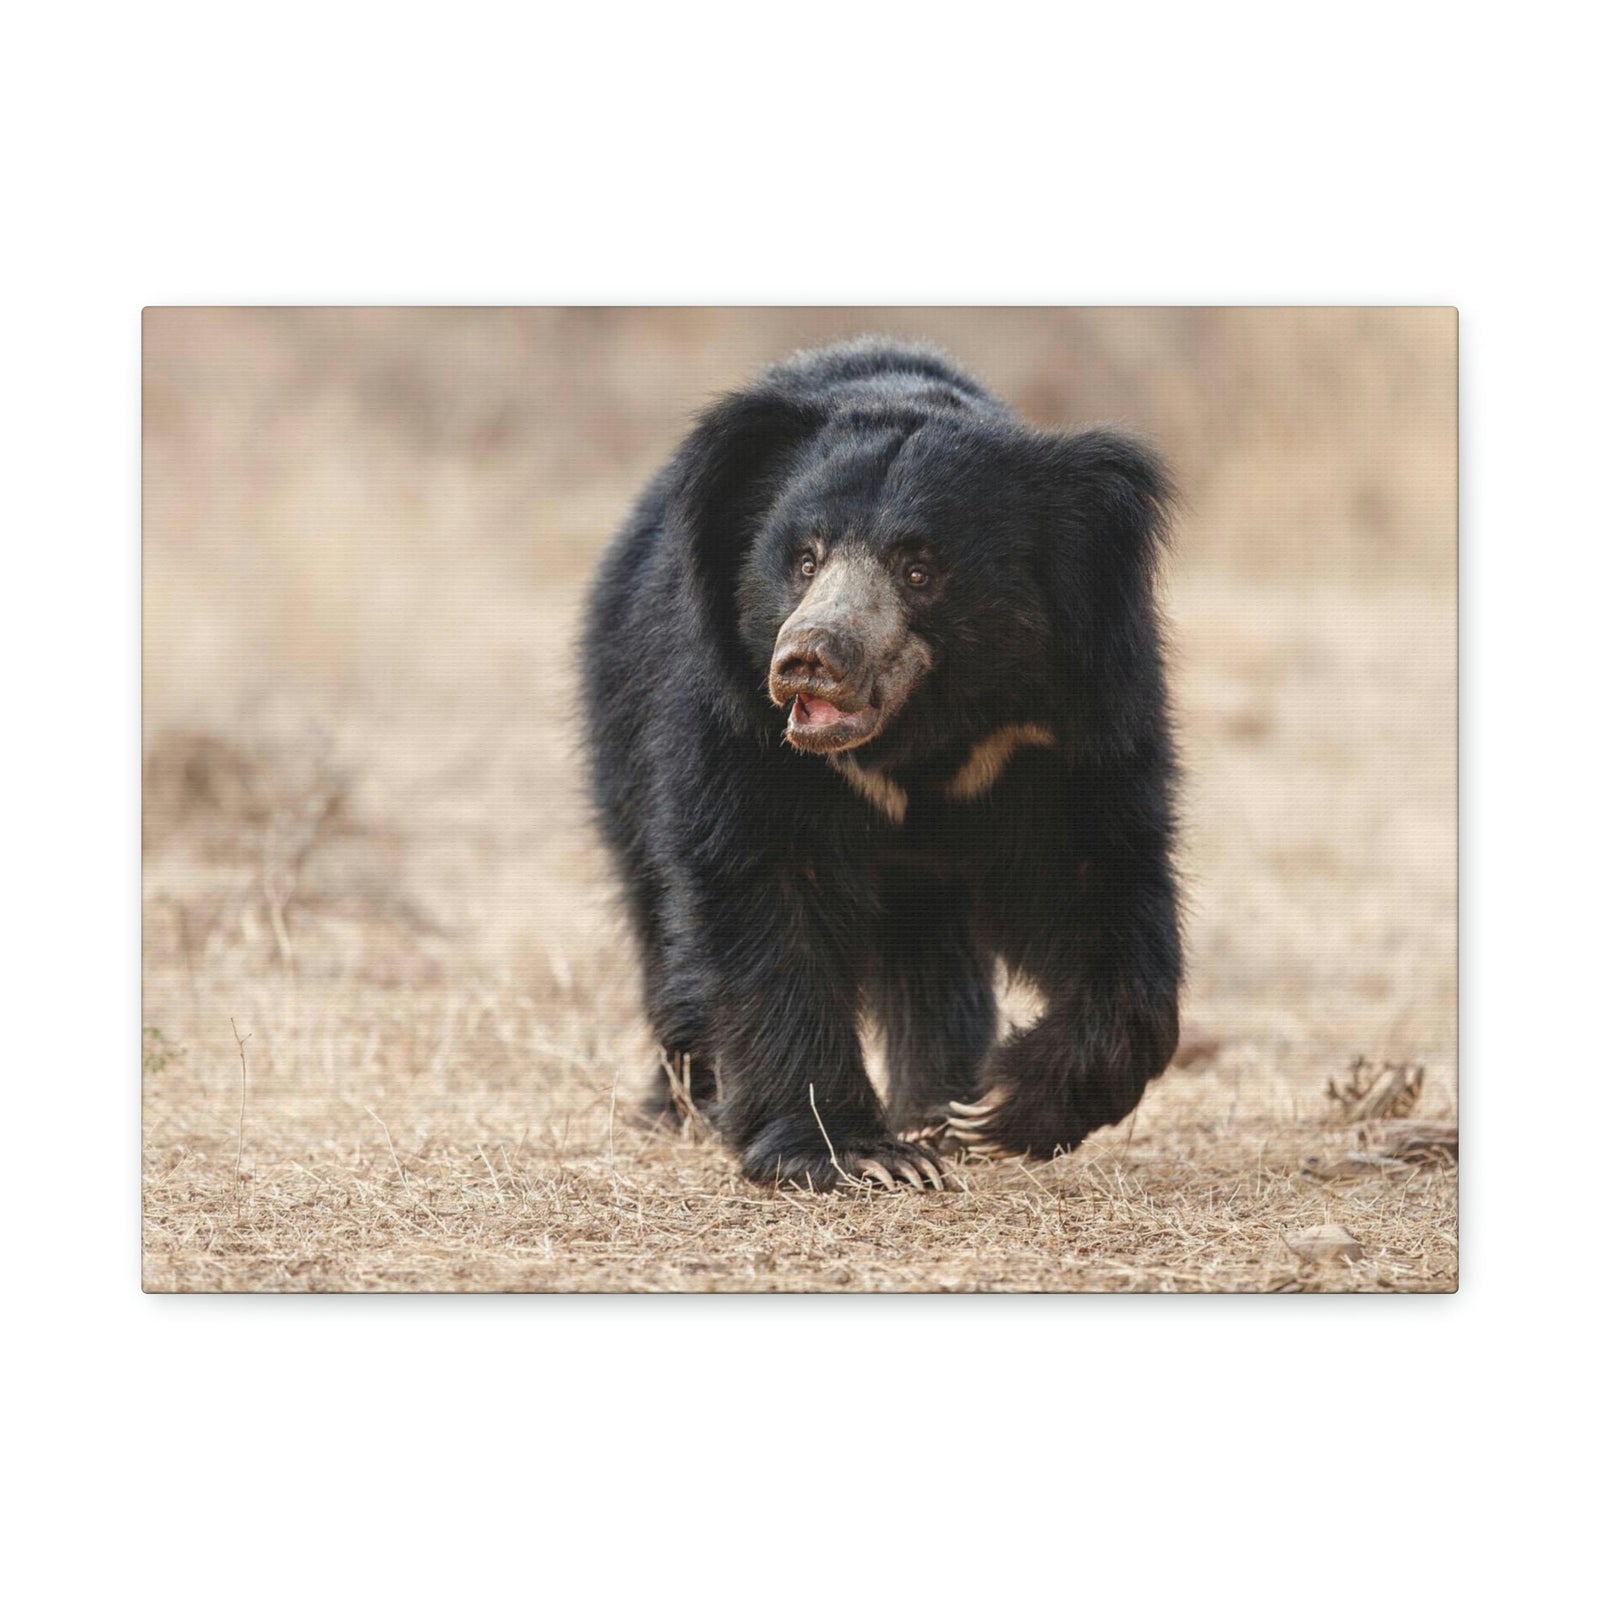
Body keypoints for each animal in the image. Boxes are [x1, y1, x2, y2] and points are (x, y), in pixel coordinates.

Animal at [579, 338, 1181, 1190]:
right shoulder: (736, 723)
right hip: (621, 729)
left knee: (934, 958)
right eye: (804, 560)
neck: (918, 737)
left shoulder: (1066, 724)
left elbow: (1099, 876)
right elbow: (761, 892)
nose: (809, 661)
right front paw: (857, 1153)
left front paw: (995, 1108)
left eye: (918, 570)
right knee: (657, 914)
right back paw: (686, 1103)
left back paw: (938, 1104)